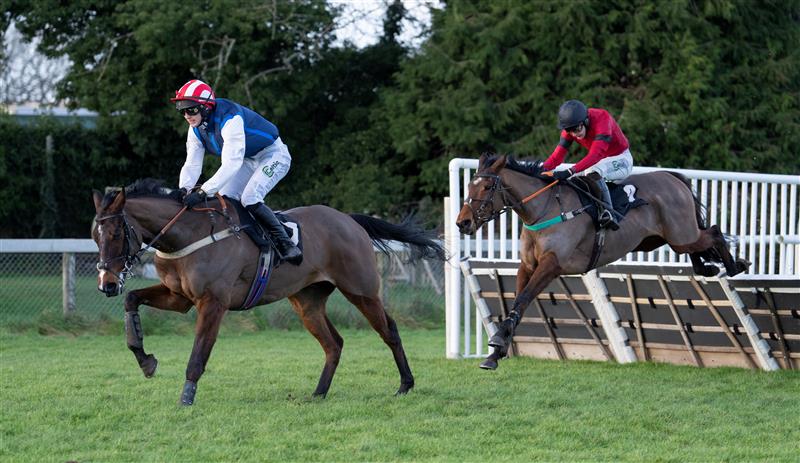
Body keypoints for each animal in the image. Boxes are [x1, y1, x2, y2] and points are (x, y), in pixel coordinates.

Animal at [92, 179, 450, 404]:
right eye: (95, 236)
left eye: (116, 233)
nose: (107, 284)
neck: (189, 234)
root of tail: (348, 220)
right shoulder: (179, 297)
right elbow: (132, 299)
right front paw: (145, 360)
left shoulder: (213, 302)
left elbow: (198, 355)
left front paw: (186, 398)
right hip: (307, 301)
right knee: (333, 343)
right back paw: (318, 393)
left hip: (360, 290)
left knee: (389, 330)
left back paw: (405, 384)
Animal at [456, 154, 752, 372]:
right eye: (469, 186)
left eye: (486, 187)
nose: (463, 222)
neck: (542, 209)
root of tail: (671, 176)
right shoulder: (527, 266)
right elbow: (517, 302)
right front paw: (495, 353)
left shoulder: (552, 265)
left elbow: (523, 298)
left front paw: (497, 344)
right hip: (666, 238)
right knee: (699, 245)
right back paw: (708, 267)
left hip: (681, 234)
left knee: (714, 232)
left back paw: (735, 266)